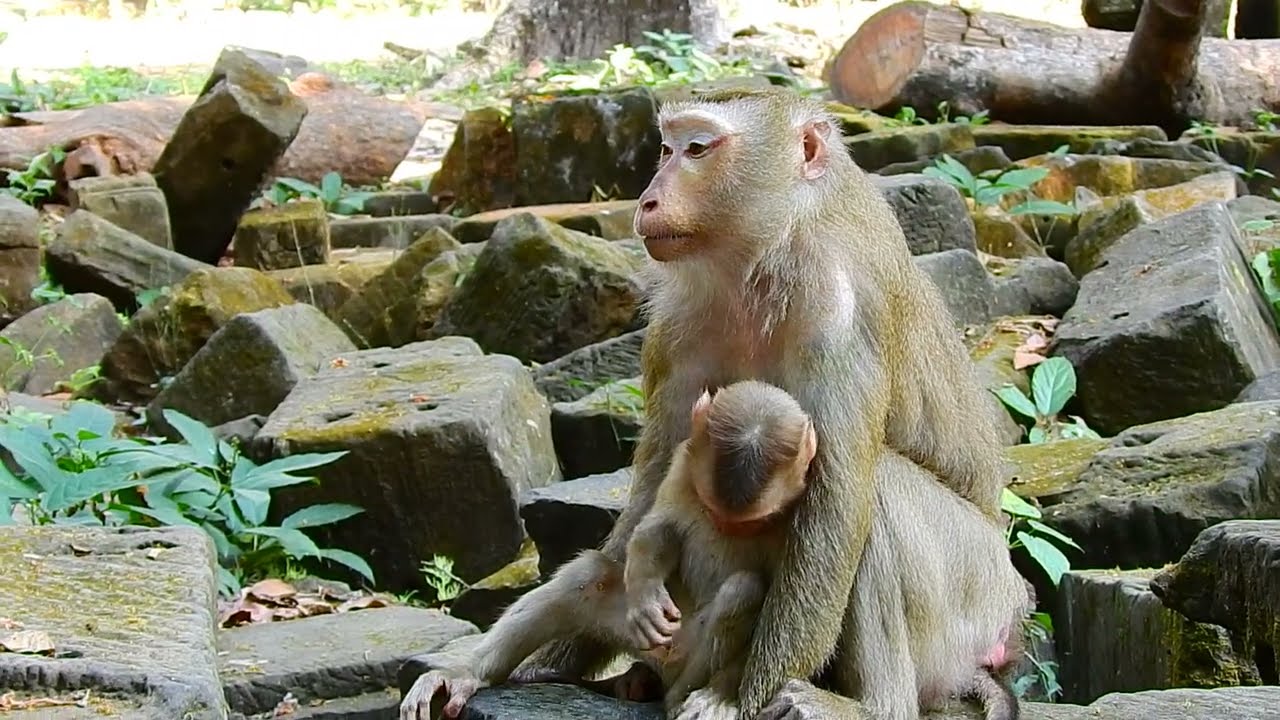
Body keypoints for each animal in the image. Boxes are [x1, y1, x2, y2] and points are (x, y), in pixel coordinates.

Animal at [399, 380, 818, 720]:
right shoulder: (684, 462)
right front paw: (647, 597)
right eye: (711, 508)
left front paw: (722, 696)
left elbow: (786, 603)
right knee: (588, 576)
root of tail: (664, 660)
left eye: (750, 523)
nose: (723, 524)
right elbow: (658, 528)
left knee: (741, 592)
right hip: (635, 633)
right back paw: (465, 676)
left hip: (688, 653)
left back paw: (682, 696)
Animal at [470, 86, 1012, 720]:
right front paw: (562, 653)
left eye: (698, 149)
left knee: (879, 492)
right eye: (666, 148)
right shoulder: (677, 323)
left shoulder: (839, 313)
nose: (648, 198)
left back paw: (871, 705)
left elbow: (835, 505)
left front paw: (743, 699)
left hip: (972, 590)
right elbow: (660, 482)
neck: (767, 256)